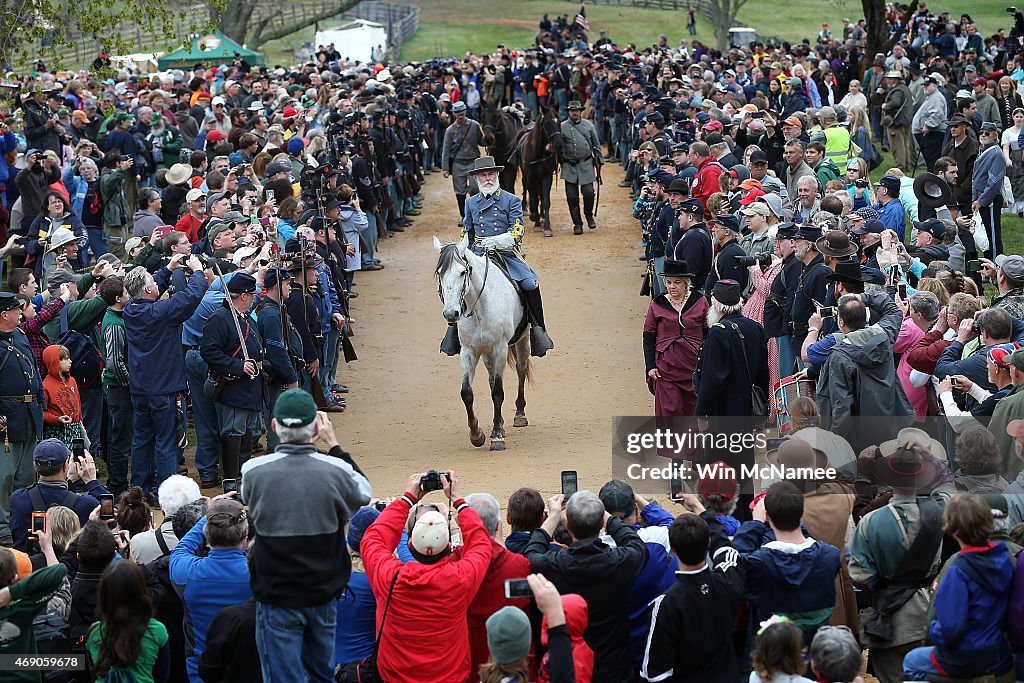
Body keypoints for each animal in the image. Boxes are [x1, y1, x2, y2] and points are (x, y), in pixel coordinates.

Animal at [516, 105, 565, 236]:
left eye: (559, 121)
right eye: (547, 122)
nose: (559, 144)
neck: (538, 152)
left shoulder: (546, 176)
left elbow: (545, 200)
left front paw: (547, 226)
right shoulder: (531, 177)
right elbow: (534, 198)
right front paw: (537, 223)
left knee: (541, 195)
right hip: (526, 176)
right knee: (527, 189)